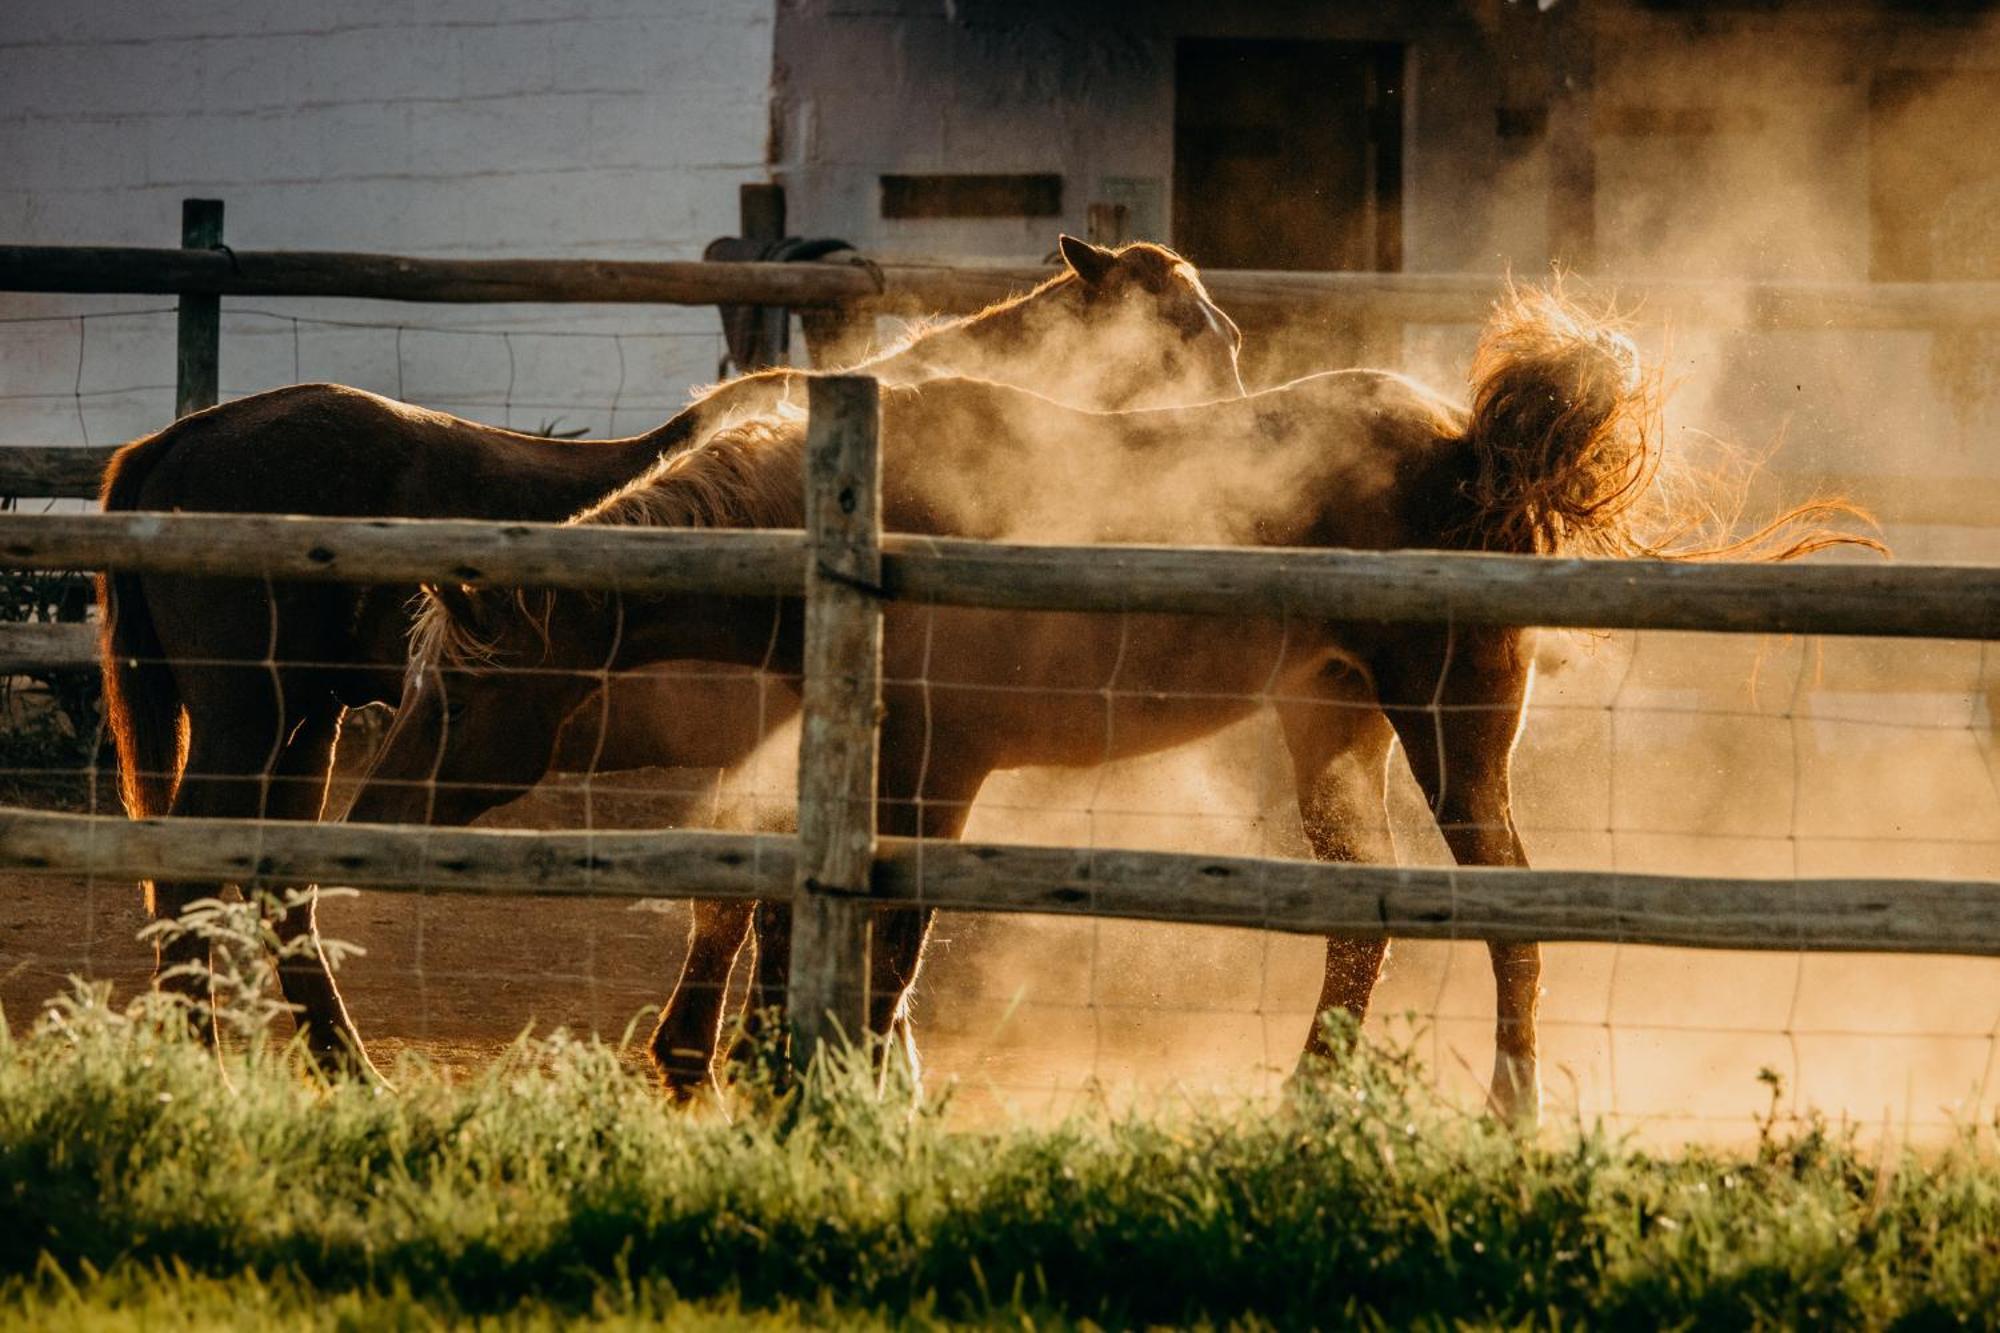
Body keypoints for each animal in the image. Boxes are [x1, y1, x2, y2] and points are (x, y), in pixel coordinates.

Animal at [101, 236, 1240, 1072]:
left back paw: (341, 1066)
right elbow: (746, 898)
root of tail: (175, 442)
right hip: (253, 719)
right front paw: (728, 1052)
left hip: (308, 724)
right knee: (189, 879)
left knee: (273, 885)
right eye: (1182, 337)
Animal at [348, 286, 1872, 1112]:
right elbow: (828, 925)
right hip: (1333, 726)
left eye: (460, 689)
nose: (368, 818)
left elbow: (887, 946)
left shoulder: (940, 771)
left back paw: (1508, 1113)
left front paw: (843, 1094)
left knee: (1508, 914)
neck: (857, 518)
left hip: (1452, 732)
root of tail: (1469, 447)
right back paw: (1308, 1101)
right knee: (1362, 920)